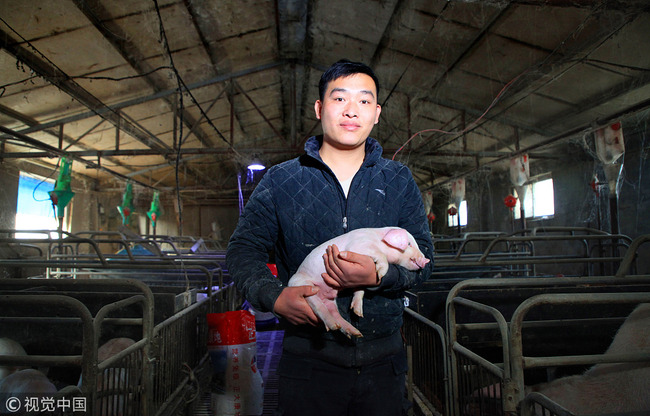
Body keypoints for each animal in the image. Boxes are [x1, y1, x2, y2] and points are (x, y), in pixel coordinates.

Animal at [286, 228, 428, 338]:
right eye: (409, 243)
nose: (426, 260)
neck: (380, 242)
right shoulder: (359, 246)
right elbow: (380, 256)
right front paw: (381, 274)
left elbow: (360, 289)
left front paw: (358, 312)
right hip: (304, 287)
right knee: (318, 307)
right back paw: (334, 325)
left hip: (330, 300)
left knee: (334, 313)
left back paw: (355, 333)